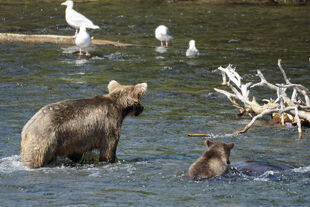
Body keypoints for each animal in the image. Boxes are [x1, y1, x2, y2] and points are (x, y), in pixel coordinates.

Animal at [20, 79, 148, 168]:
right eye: (140, 100)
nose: (142, 108)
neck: (119, 109)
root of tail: (27, 128)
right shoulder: (109, 126)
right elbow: (108, 150)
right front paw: (111, 160)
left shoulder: (75, 141)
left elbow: (76, 154)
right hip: (46, 139)